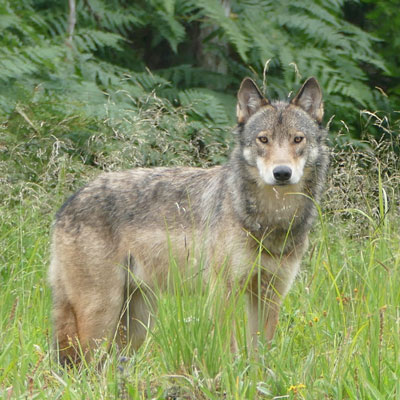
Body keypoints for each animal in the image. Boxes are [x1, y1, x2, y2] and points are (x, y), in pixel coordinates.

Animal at [48, 76, 328, 364]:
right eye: (264, 139)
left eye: (297, 139)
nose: (282, 173)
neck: (271, 219)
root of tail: (67, 204)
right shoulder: (223, 291)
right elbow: (228, 348)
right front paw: (229, 372)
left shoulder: (269, 294)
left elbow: (261, 354)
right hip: (102, 316)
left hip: (137, 324)